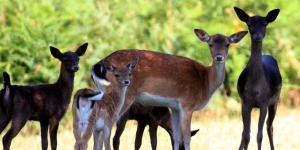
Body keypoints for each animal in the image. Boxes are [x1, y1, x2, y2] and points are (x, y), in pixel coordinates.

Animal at [91, 28, 248, 149]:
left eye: (227, 44)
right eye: (210, 44)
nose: (219, 57)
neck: (206, 81)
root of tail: (98, 65)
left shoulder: (175, 107)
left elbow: (176, 136)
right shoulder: (187, 103)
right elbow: (186, 136)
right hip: (124, 95)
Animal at [233, 6, 282, 150]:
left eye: (265, 24)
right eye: (249, 24)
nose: (258, 37)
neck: (255, 89)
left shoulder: (264, 102)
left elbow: (259, 135)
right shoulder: (245, 102)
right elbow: (246, 134)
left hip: (276, 100)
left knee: (269, 127)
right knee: (245, 132)